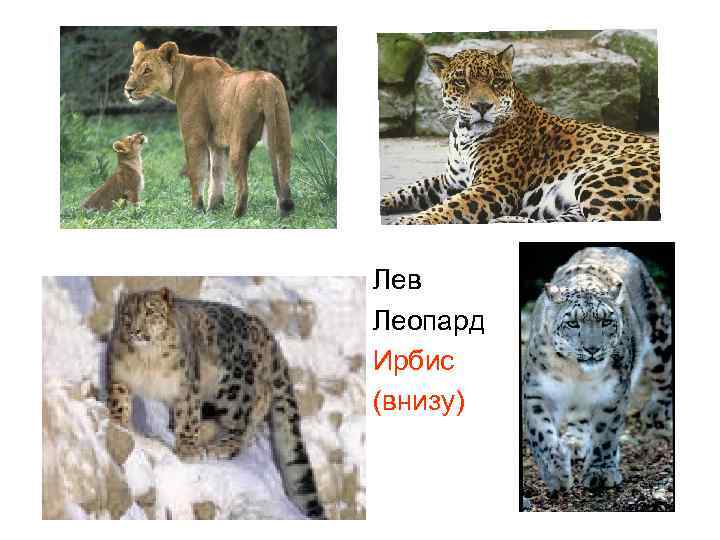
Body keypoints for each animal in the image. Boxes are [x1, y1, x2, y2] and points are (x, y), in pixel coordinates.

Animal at [124, 41, 294, 218]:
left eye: (147, 70)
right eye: (132, 69)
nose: (128, 90)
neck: (179, 77)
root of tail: (267, 84)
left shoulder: (194, 138)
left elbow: (196, 173)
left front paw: (197, 210)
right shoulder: (217, 145)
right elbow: (217, 175)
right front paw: (214, 209)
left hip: (238, 142)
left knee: (243, 187)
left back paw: (236, 216)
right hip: (282, 134)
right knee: (284, 176)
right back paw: (284, 211)